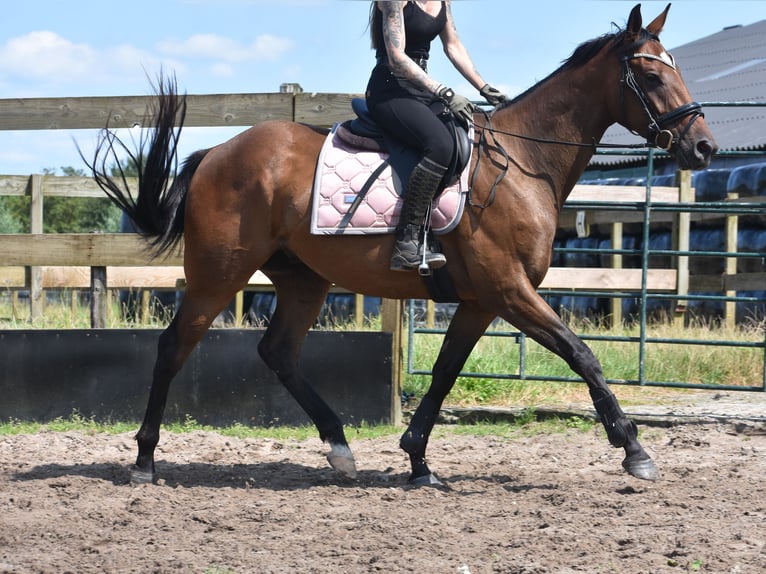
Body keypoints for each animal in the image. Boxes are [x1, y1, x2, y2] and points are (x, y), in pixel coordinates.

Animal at [87, 4, 716, 488]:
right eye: (652, 78)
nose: (705, 147)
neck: (523, 163)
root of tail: (218, 152)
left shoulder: (481, 301)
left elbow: (444, 372)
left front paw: (418, 461)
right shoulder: (509, 291)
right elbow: (581, 354)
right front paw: (634, 450)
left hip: (303, 278)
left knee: (279, 352)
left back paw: (340, 448)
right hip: (220, 272)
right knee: (175, 346)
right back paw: (144, 460)